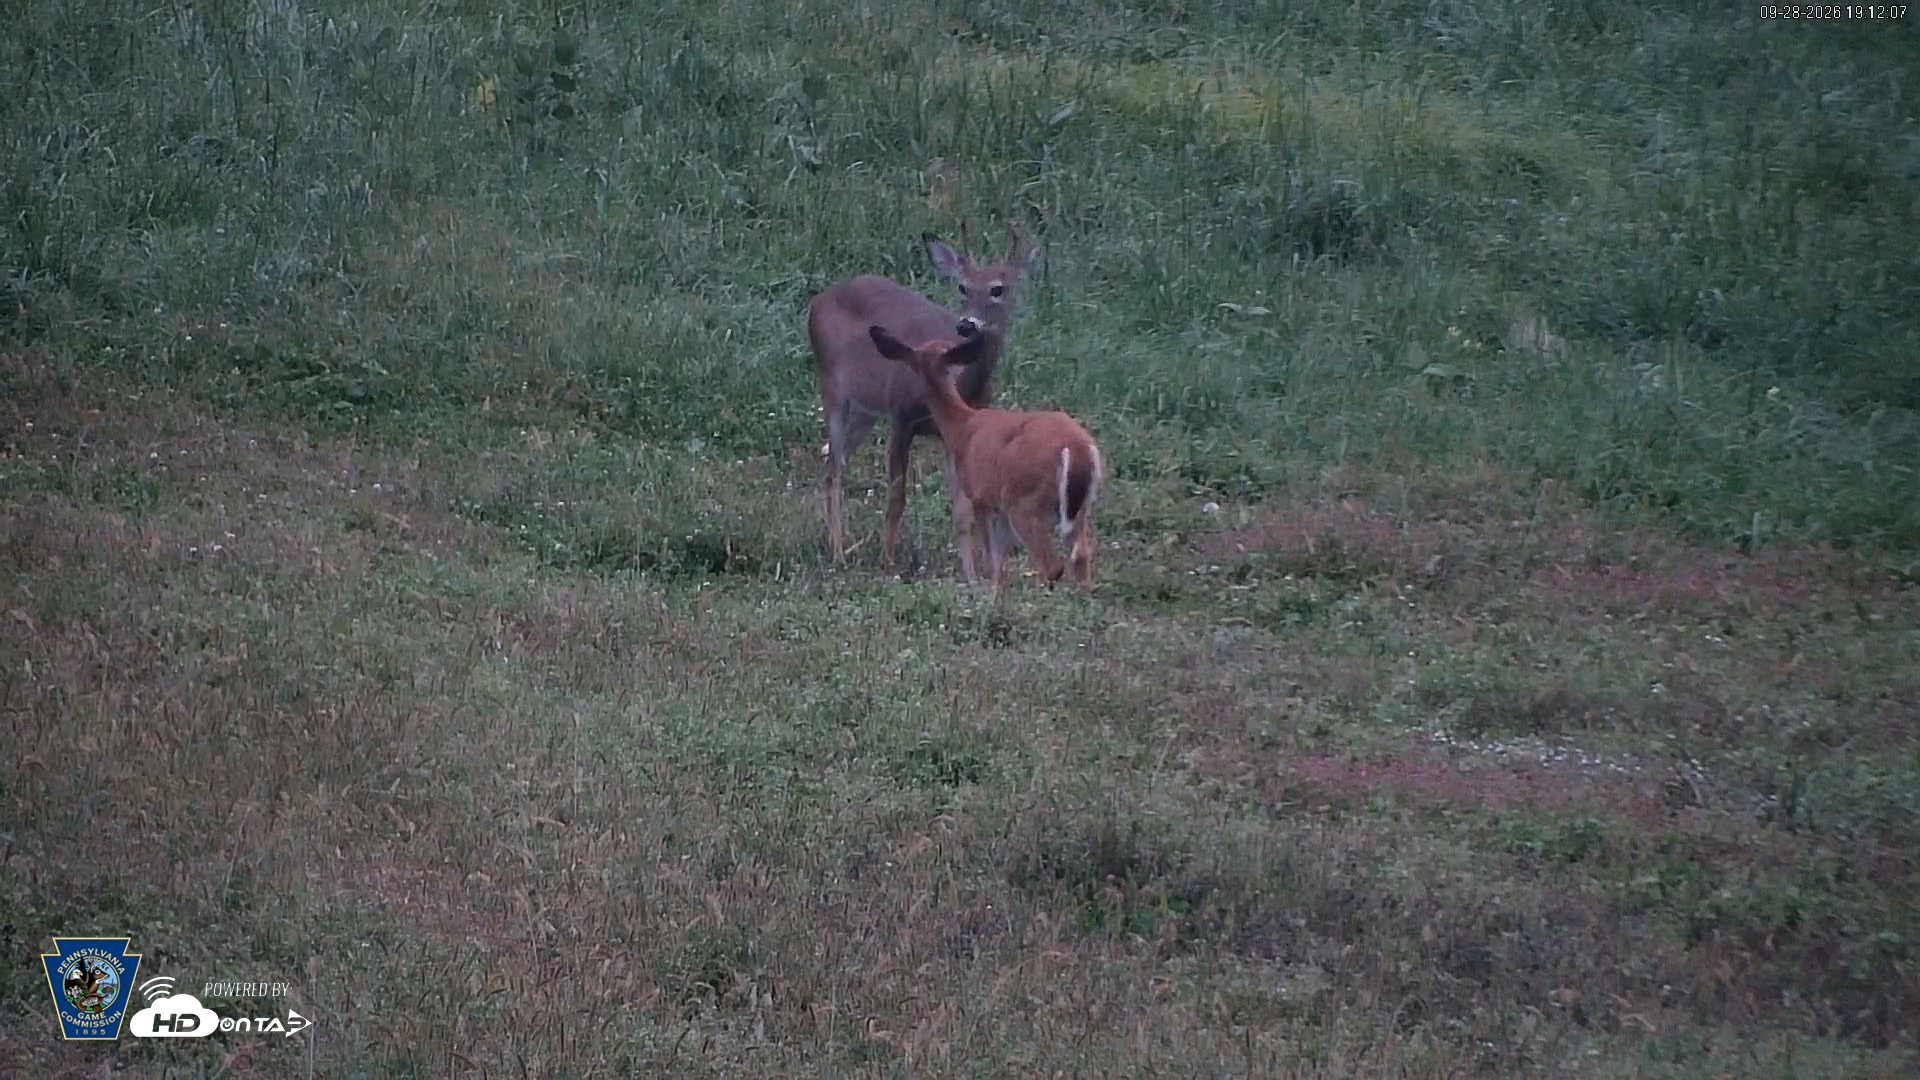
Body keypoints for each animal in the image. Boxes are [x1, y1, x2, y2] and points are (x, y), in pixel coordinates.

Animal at [806, 222, 1041, 577]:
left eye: (998, 289)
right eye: (962, 286)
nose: (967, 325)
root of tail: (819, 299)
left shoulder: (958, 436)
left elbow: (962, 510)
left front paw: (971, 576)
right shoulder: (902, 415)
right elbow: (896, 498)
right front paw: (888, 563)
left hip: (865, 409)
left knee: (835, 462)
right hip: (831, 385)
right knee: (834, 467)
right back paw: (838, 554)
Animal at [866, 325, 1102, 593]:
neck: (962, 425)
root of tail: (1077, 448)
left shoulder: (980, 495)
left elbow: (991, 559)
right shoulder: (997, 506)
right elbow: (999, 562)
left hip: (1024, 502)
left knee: (1052, 565)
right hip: (1078, 507)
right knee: (1080, 557)